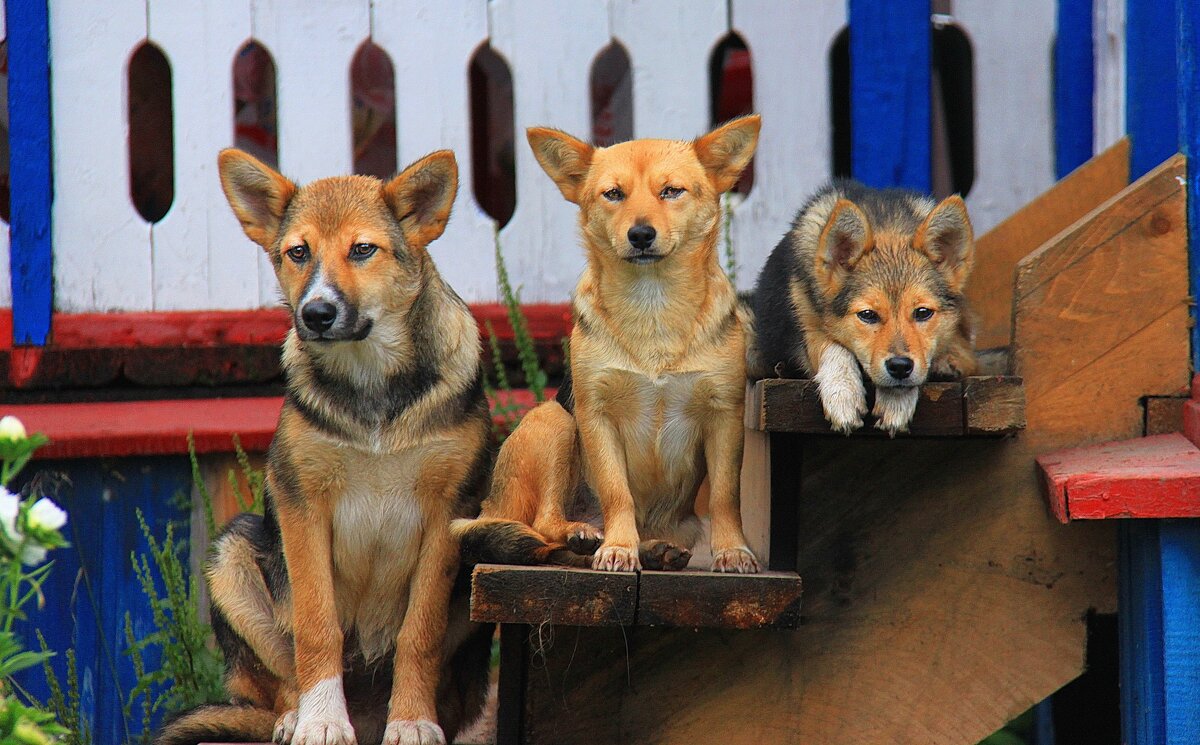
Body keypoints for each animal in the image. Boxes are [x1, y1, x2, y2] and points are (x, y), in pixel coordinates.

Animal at [154, 146, 492, 743]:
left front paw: (412, 720)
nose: (315, 313)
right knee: (274, 683)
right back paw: (295, 715)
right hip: (233, 554)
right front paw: (322, 721)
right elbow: (315, 626)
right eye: (298, 252)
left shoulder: (448, 511)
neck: (372, 385)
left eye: (363, 250)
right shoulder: (302, 504)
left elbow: (419, 632)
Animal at [453, 114, 763, 575]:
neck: (653, 306)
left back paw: (652, 549)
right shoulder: (595, 414)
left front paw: (732, 550)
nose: (641, 234)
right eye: (613, 194)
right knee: (544, 526)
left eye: (672, 191)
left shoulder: (724, 415)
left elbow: (727, 495)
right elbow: (618, 491)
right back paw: (585, 533)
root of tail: (489, 508)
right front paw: (618, 546)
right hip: (553, 421)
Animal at [744, 179, 979, 431]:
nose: (900, 367)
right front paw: (843, 394)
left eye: (923, 313)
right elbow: (833, 347)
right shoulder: (805, 325)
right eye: (867, 315)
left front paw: (896, 402)